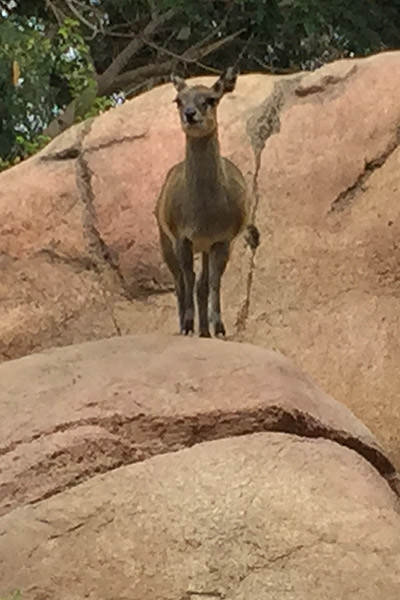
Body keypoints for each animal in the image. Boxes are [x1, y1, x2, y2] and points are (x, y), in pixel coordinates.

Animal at [155, 67, 258, 338]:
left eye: (211, 98)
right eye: (178, 100)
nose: (190, 115)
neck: (204, 215)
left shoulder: (221, 239)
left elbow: (212, 282)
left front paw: (218, 327)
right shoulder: (182, 237)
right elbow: (188, 280)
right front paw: (188, 325)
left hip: (206, 247)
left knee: (201, 283)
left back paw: (205, 330)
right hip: (165, 241)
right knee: (180, 282)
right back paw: (186, 324)